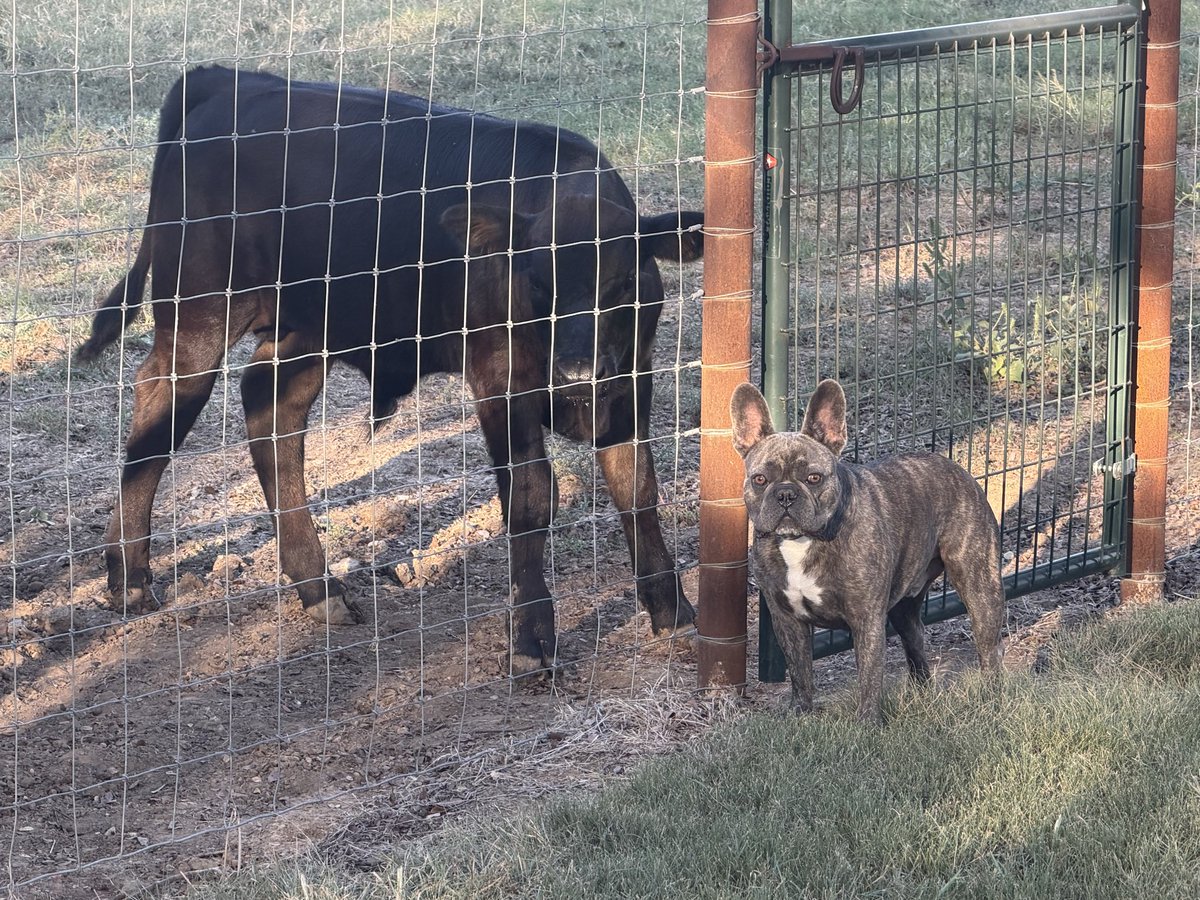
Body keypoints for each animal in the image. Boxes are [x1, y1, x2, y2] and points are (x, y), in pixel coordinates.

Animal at [76, 66, 703, 674]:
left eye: (624, 282)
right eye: (536, 280)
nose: (577, 373)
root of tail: (227, 78)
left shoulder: (632, 378)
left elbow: (636, 486)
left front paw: (672, 609)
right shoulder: (499, 381)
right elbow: (530, 498)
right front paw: (531, 638)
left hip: (311, 325)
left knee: (270, 406)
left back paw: (318, 587)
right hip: (199, 312)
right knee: (160, 404)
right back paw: (129, 575)